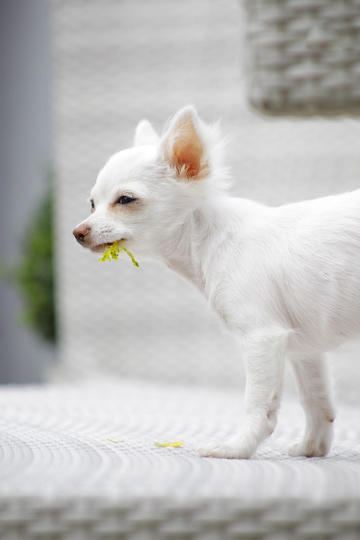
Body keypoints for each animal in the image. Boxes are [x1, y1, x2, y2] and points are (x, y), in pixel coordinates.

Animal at [73, 106, 360, 460]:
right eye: (92, 204)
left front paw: (236, 448)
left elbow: (259, 405)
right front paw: (312, 448)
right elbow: (317, 400)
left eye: (125, 200)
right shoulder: (305, 348)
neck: (208, 240)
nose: (78, 232)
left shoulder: (262, 338)